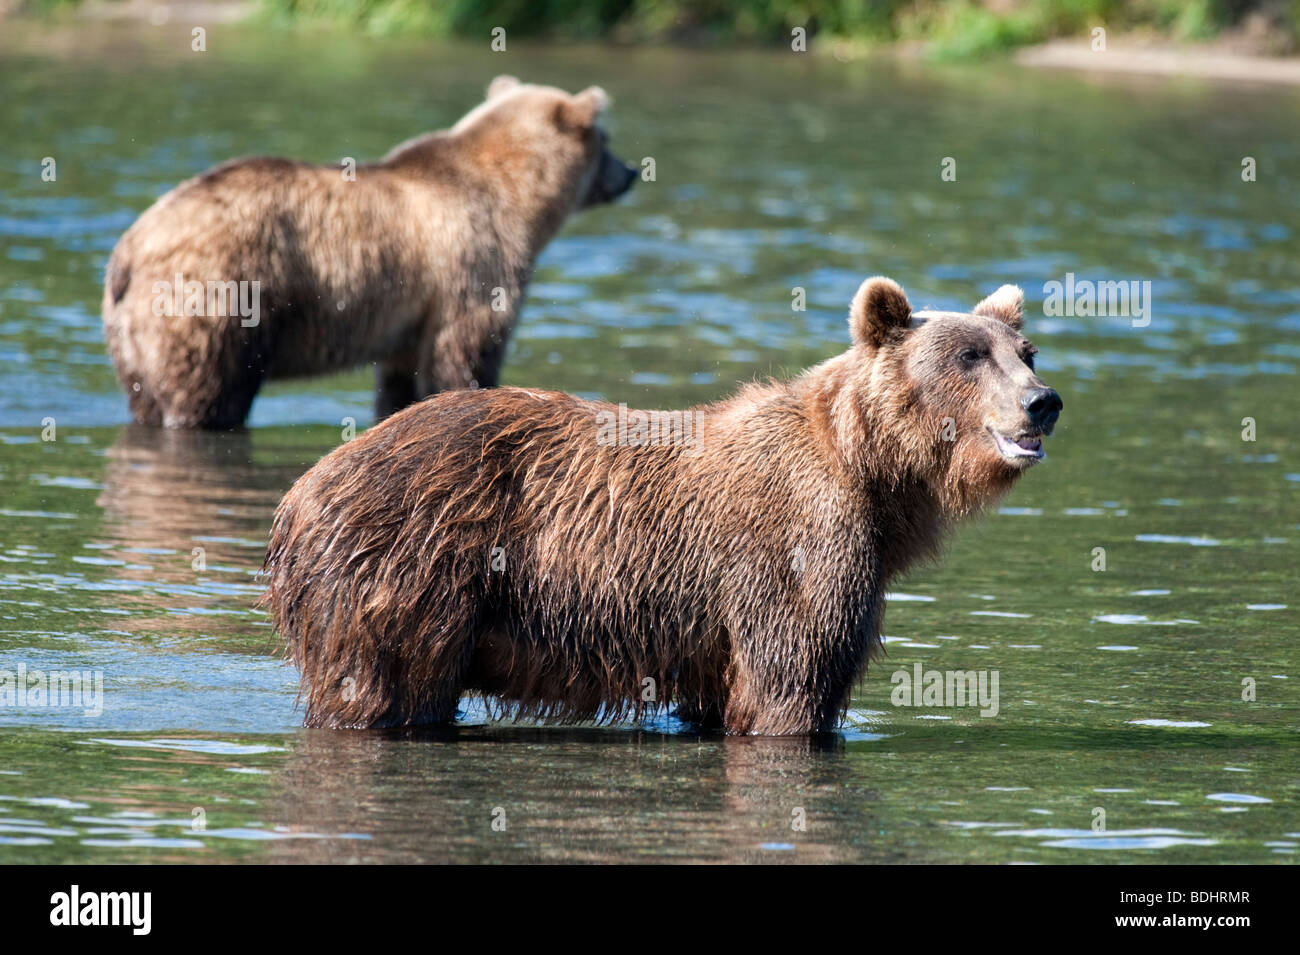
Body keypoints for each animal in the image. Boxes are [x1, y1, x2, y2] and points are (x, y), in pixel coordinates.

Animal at [100, 76, 634, 428]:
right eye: (607, 140)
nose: (629, 172)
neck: (518, 198)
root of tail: (131, 249)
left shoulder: (409, 322)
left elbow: (399, 382)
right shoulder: (473, 266)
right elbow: (466, 352)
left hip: (132, 334)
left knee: (146, 396)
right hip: (219, 296)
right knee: (210, 392)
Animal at [258, 272, 1060, 738]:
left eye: (1025, 351)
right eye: (968, 355)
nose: (1042, 402)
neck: (875, 476)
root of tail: (299, 492)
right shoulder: (797, 550)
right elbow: (793, 688)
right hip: (406, 567)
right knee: (386, 686)